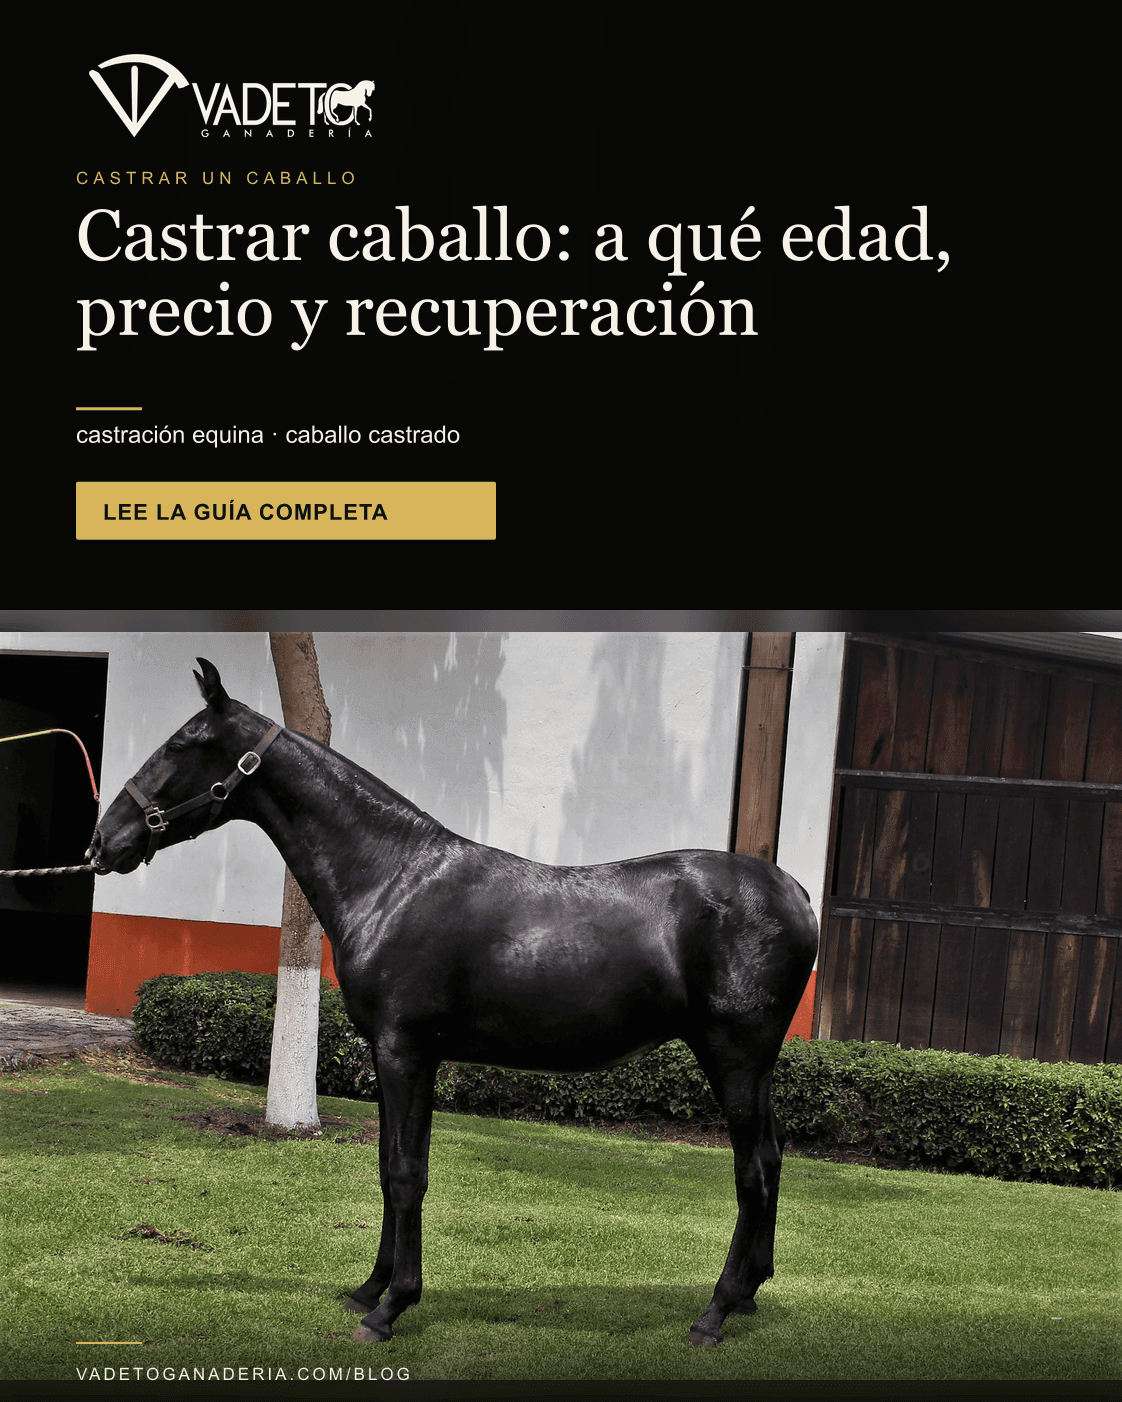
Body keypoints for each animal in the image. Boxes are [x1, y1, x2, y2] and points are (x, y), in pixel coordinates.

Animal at [87, 658, 819, 1347]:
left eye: (181, 744)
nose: (102, 843)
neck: (392, 879)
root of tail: (797, 893)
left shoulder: (404, 1052)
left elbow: (407, 1173)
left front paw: (390, 1309)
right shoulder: (404, 1056)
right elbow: (389, 1166)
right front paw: (369, 1287)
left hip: (733, 1057)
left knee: (753, 1171)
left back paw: (714, 1313)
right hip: (752, 1066)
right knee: (774, 1155)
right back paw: (749, 1291)